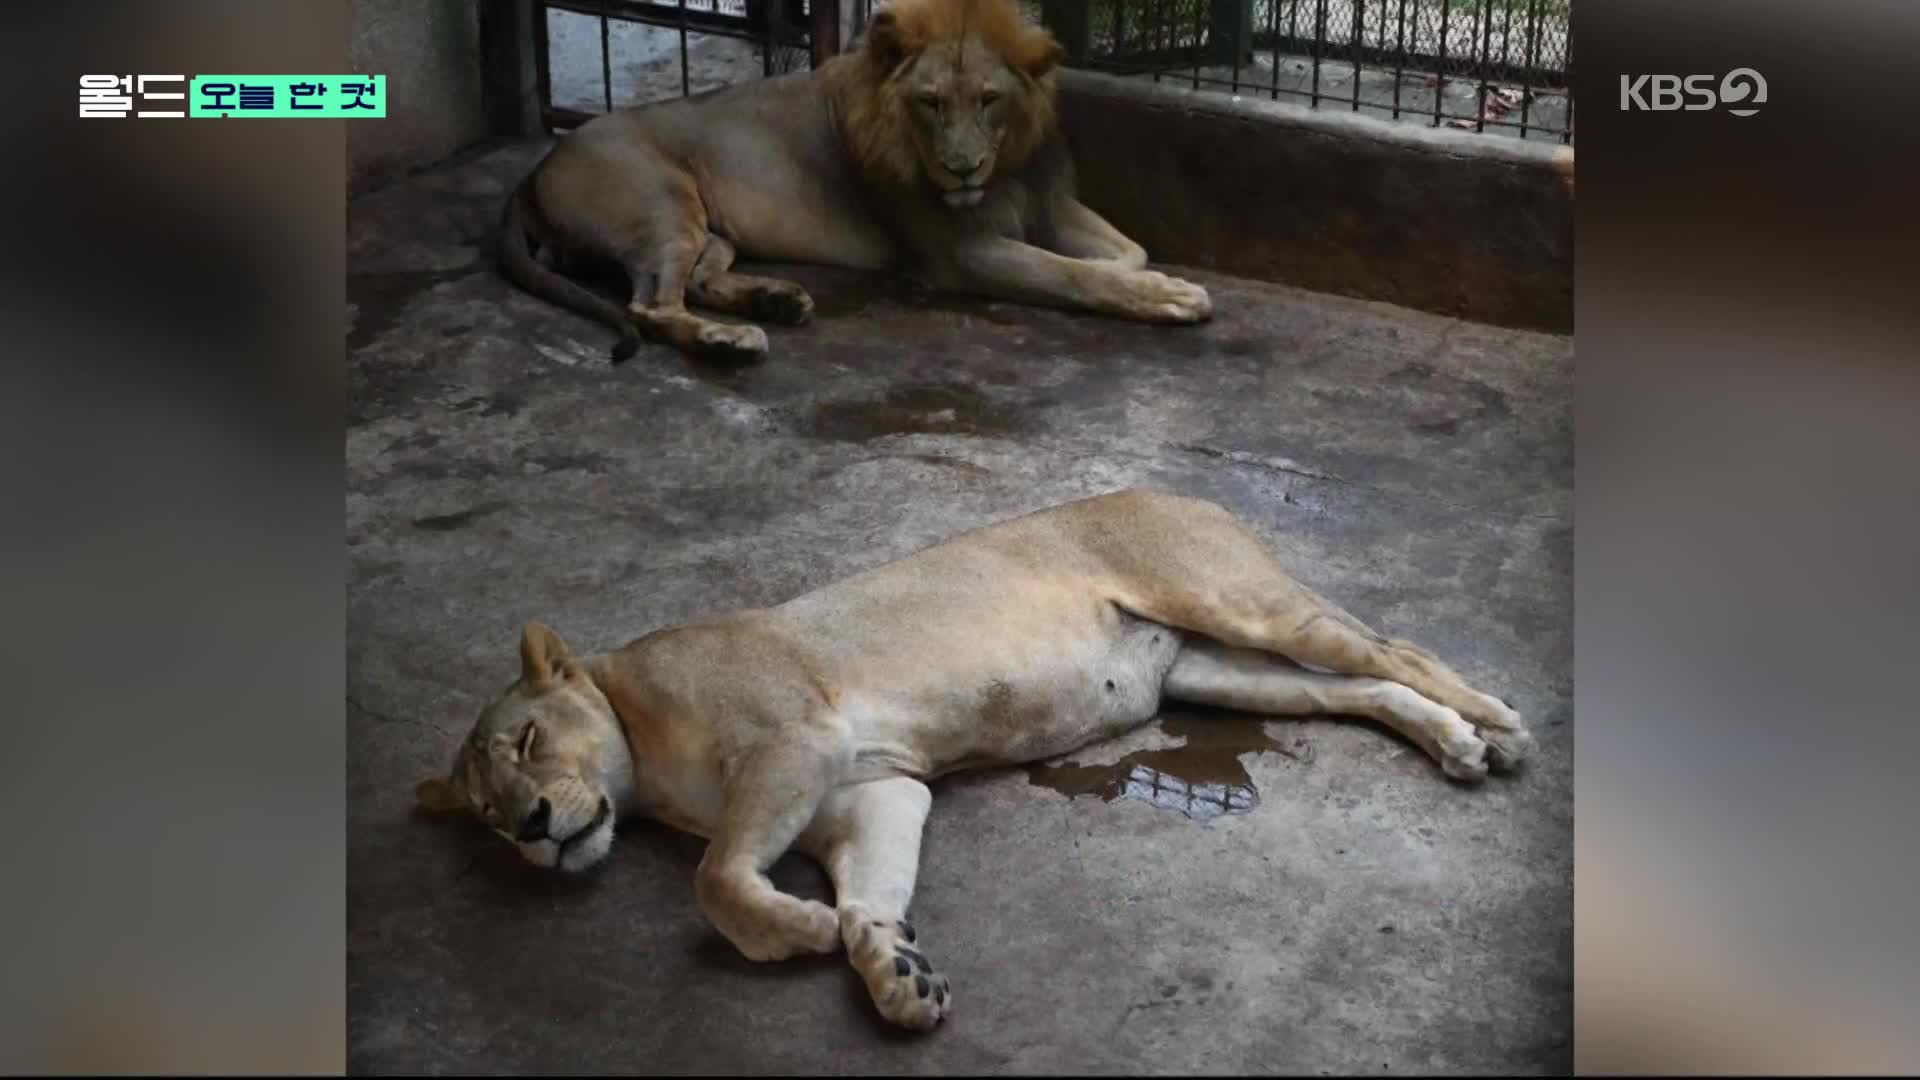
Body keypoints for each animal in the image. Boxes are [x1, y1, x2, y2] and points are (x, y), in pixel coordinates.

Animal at [416, 488, 1528, 1022]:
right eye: (485, 809)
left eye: (527, 740)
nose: (530, 827)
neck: (642, 761)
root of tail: (1182, 492)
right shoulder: (873, 791)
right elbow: (868, 893)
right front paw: (890, 966)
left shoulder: (795, 740)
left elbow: (715, 878)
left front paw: (804, 927)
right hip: (1223, 672)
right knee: (1362, 689)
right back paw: (1457, 743)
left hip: (1232, 600)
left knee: (1394, 649)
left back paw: (1502, 724)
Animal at [503, 0, 1205, 365]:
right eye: (930, 103)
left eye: (988, 99)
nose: (961, 168)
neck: (1005, 165)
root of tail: (533, 172)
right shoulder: (961, 253)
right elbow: (1069, 276)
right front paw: (1169, 296)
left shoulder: (1048, 204)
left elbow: (1128, 251)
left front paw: (1138, 273)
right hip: (663, 208)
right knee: (650, 305)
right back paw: (731, 339)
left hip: (710, 227)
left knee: (700, 280)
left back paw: (777, 301)